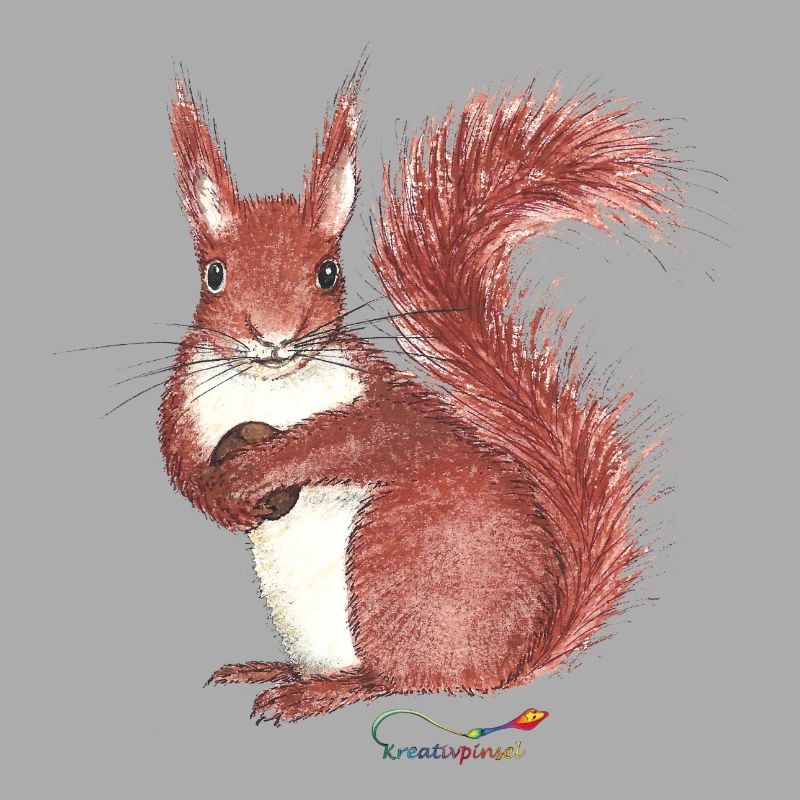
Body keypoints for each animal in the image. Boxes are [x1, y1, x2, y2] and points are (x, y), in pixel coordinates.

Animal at [158, 67, 678, 725]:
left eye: (328, 273)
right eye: (214, 274)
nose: (274, 338)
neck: (269, 388)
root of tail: (509, 667)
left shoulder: (379, 406)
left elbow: (345, 439)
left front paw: (260, 468)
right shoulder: (186, 402)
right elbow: (178, 463)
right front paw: (218, 498)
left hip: (392, 565)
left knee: (401, 681)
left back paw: (318, 692)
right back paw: (274, 670)